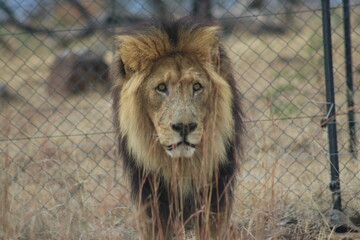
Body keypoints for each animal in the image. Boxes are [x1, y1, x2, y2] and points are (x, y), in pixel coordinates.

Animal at [111, 17, 243, 239]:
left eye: (197, 87)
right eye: (162, 87)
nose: (184, 127)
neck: (182, 166)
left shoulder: (214, 196)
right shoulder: (152, 199)